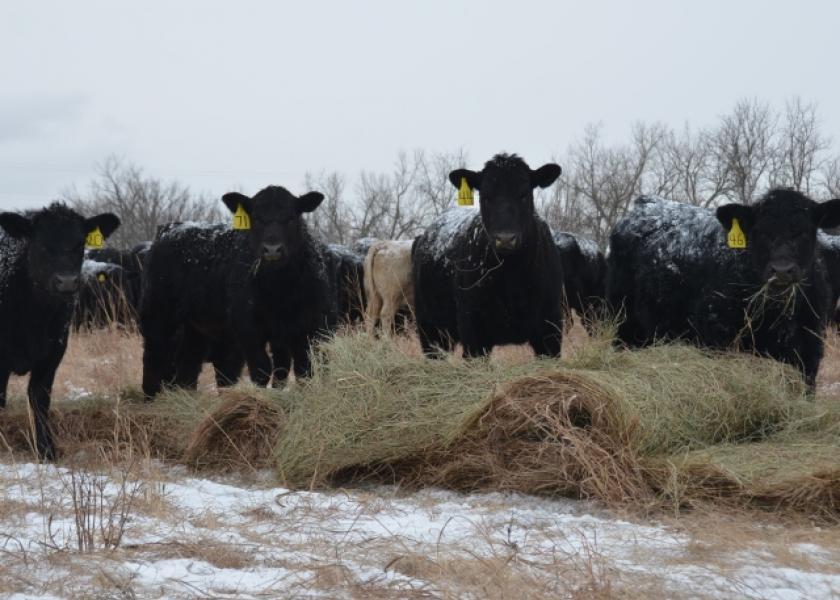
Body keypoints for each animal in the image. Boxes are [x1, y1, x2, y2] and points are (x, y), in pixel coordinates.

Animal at [412, 154, 564, 356]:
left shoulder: (550, 331)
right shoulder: (473, 332)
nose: (505, 239)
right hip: (430, 330)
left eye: (524, 194)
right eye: (485, 196)